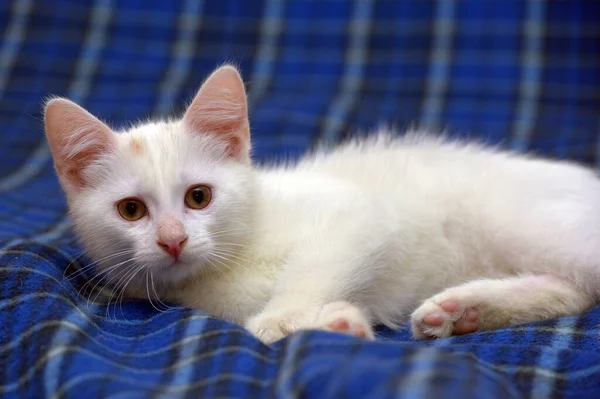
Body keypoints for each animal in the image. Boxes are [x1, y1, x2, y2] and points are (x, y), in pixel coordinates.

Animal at [44, 65, 600, 344]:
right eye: (131, 211)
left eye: (199, 197)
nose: (173, 240)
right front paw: (339, 323)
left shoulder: (358, 212)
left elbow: (314, 270)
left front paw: (283, 318)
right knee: (573, 292)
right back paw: (462, 310)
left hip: (523, 224)